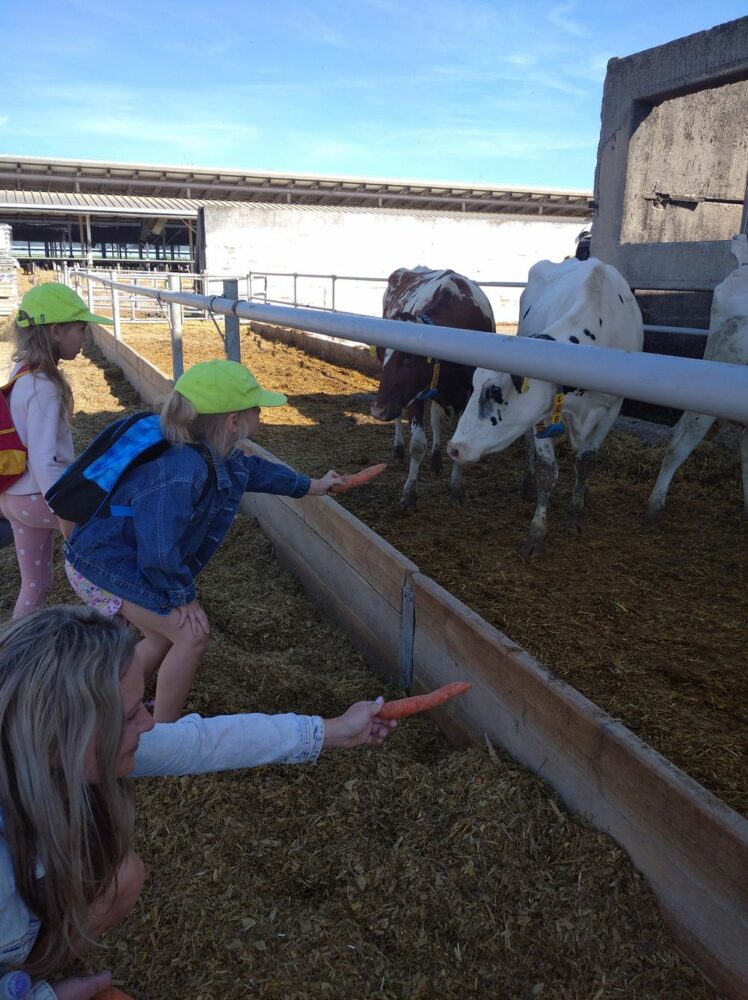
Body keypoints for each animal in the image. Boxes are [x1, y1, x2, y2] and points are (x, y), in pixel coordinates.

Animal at [370, 264, 496, 508]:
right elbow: (418, 445)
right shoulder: (415, 395)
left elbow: (457, 442)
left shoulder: (468, 394)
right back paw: (399, 448)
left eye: (409, 355)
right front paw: (409, 494)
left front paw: (456, 488)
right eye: (380, 352)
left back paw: (437, 460)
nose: (378, 410)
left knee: (436, 420)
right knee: (403, 419)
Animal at [448, 254, 644, 560]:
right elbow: (548, 470)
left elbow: (586, 460)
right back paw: (528, 483)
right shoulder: (543, 413)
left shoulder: (613, 406)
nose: (454, 448)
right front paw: (536, 534)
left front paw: (576, 512)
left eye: (494, 391)